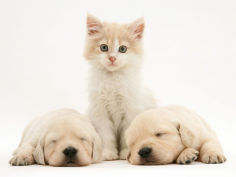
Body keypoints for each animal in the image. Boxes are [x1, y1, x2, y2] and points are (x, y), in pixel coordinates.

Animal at [83, 14, 157, 160]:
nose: (112, 58)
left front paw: (125, 153)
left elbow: (126, 134)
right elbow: (106, 135)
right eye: (104, 47)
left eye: (123, 49)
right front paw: (108, 153)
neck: (113, 79)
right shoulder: (100, 111)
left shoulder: (130, 110)